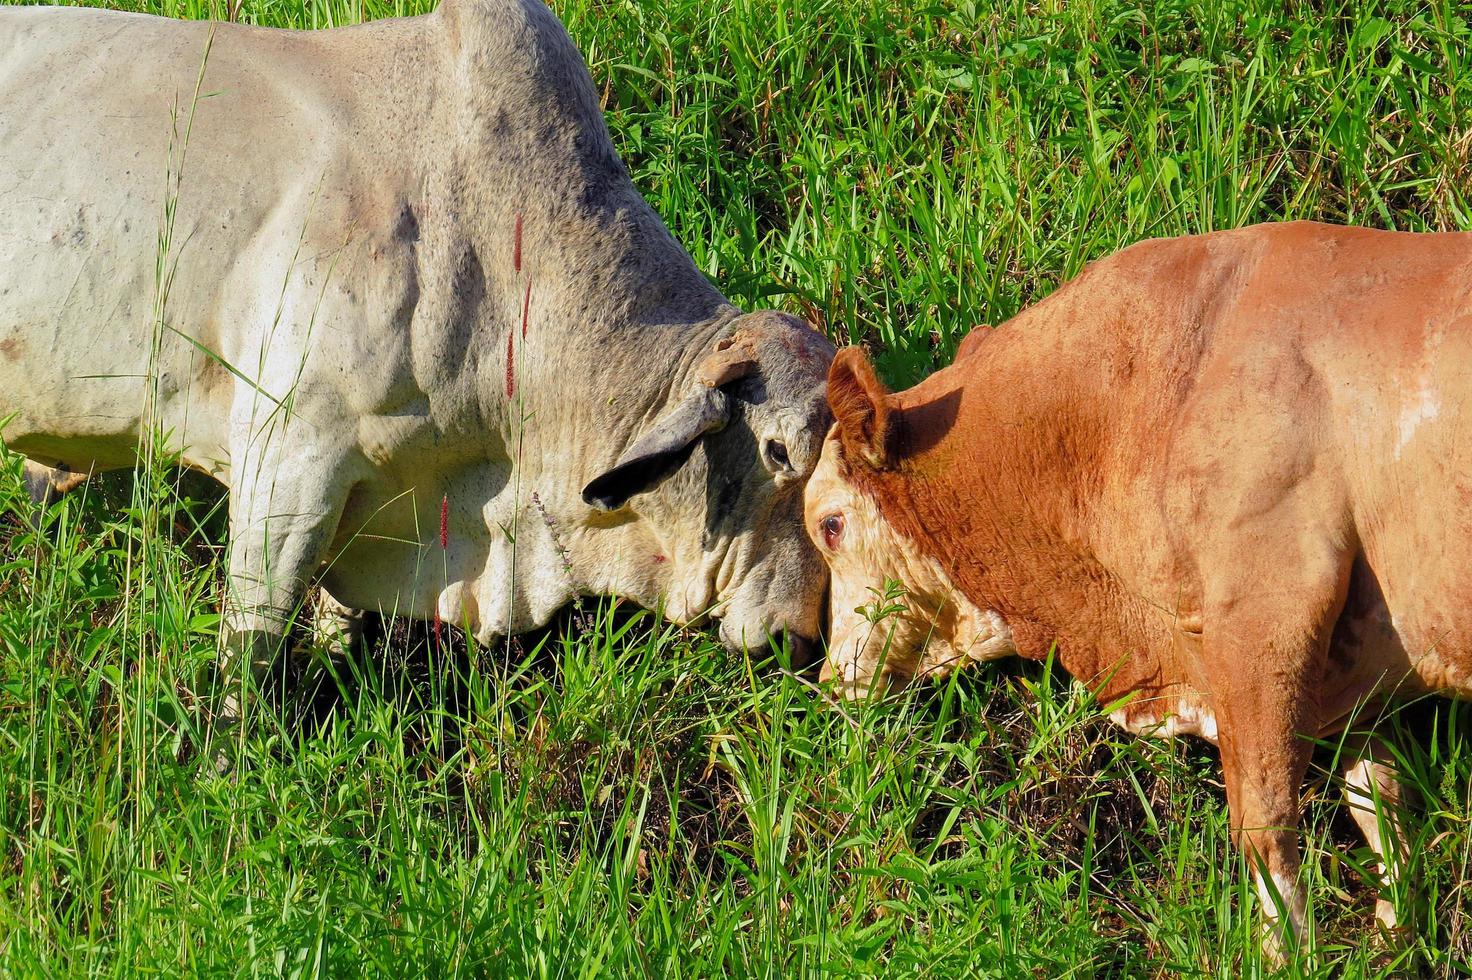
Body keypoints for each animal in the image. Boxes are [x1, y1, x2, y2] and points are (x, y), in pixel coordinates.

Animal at [806, 219, 1472, 947]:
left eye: (829, 524)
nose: (830, 683)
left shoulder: (1269, 606)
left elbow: (1266, 829)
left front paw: (1284, 953)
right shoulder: (1354, 672)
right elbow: (1388, 819)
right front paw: (1391, 943)